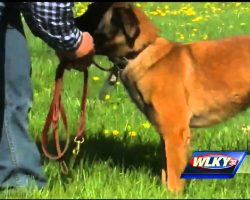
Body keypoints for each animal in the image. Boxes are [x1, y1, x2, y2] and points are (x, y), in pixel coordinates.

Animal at [75, 2, 250, 195]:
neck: (141, 52)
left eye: (91, 12)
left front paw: (174, 193)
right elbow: (166, 169)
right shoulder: (165, 133)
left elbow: (173, 173)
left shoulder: (175, 133)